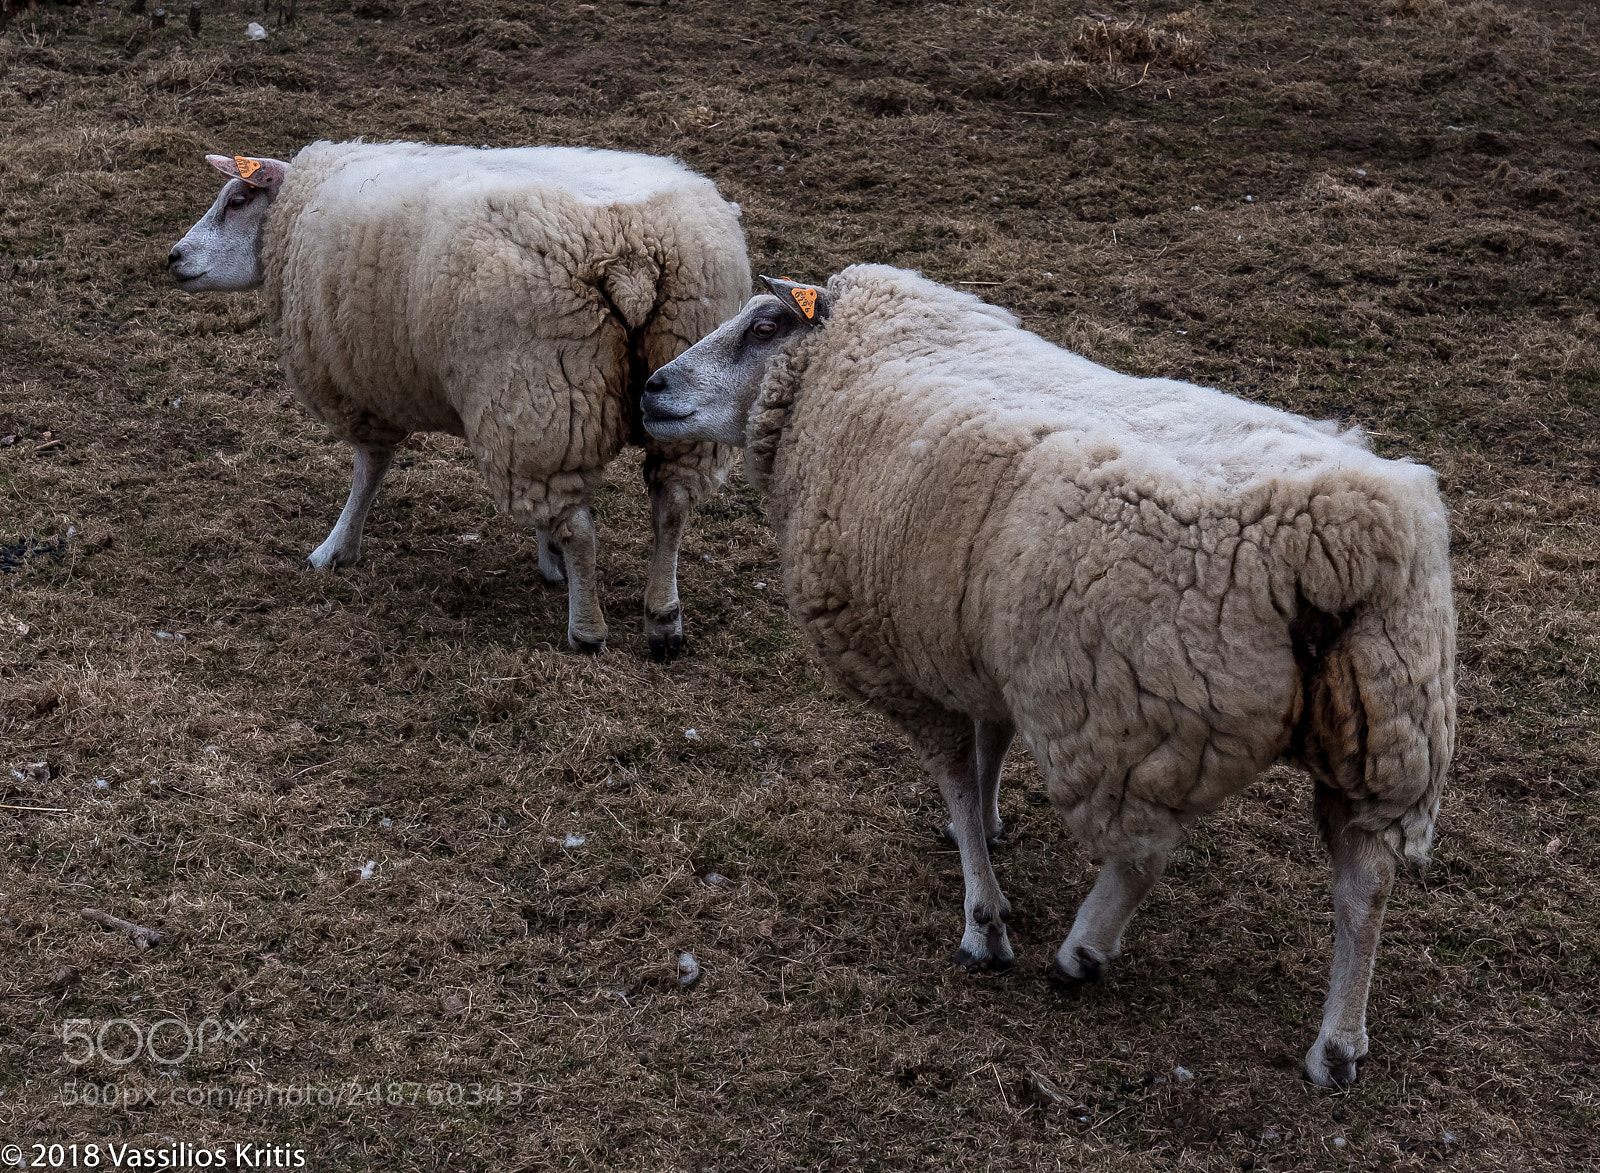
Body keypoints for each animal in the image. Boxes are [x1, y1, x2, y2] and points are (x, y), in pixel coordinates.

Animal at [168, 141, 750, 657]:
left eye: (236, 200)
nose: (173, 258)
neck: (292, 217)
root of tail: (631, 259)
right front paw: (550, 561)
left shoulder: (363, 388)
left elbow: (368, 469)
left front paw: (336, 548)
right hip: (675, 392)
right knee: (671, 506)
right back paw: (663, 621)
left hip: (540, 393)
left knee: (582, 528)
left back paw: (586, 630)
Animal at [640, 266, 1456, 1087]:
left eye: (764, 328)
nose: (651, 387)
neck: (844, 360)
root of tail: (1340, 534)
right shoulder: (972, 639)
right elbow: (988, 742)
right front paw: (987, 824)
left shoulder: (897, 655)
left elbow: (955, 771)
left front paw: (984, 915)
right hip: (1389, 728)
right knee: (1366, 881)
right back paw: (1339, 1044)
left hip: (1131, 719)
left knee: (1142, 856)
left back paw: (1082, 950)